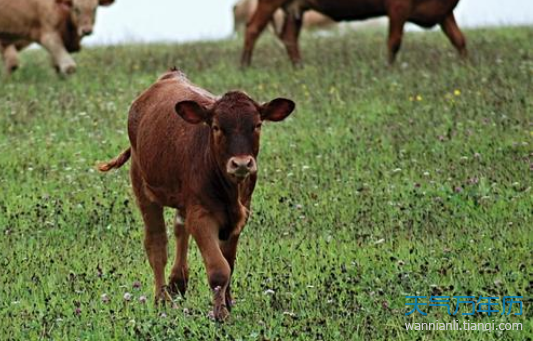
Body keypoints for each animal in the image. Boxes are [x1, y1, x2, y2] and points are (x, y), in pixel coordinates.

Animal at [98, 69, 296, 322]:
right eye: (217, 127)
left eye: (257, 125)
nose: (241, 163)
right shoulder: (202, 215)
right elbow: (219, 268)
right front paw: (221, 314)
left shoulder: (240, 215)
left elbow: (229, 262)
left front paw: (227, 303)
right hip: (142, 185)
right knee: (156, 243)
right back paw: (162, 298)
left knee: (180, 227)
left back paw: (178, 280)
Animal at [241, 0, 466, 66]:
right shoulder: (398, 8)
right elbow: (394, 42)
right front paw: (390, 68)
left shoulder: (444, 11)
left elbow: (459, 39)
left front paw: (467, 66)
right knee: (252, 28)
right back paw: (245, 66)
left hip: (295, 9)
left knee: (289, 37)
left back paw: (299, 67)